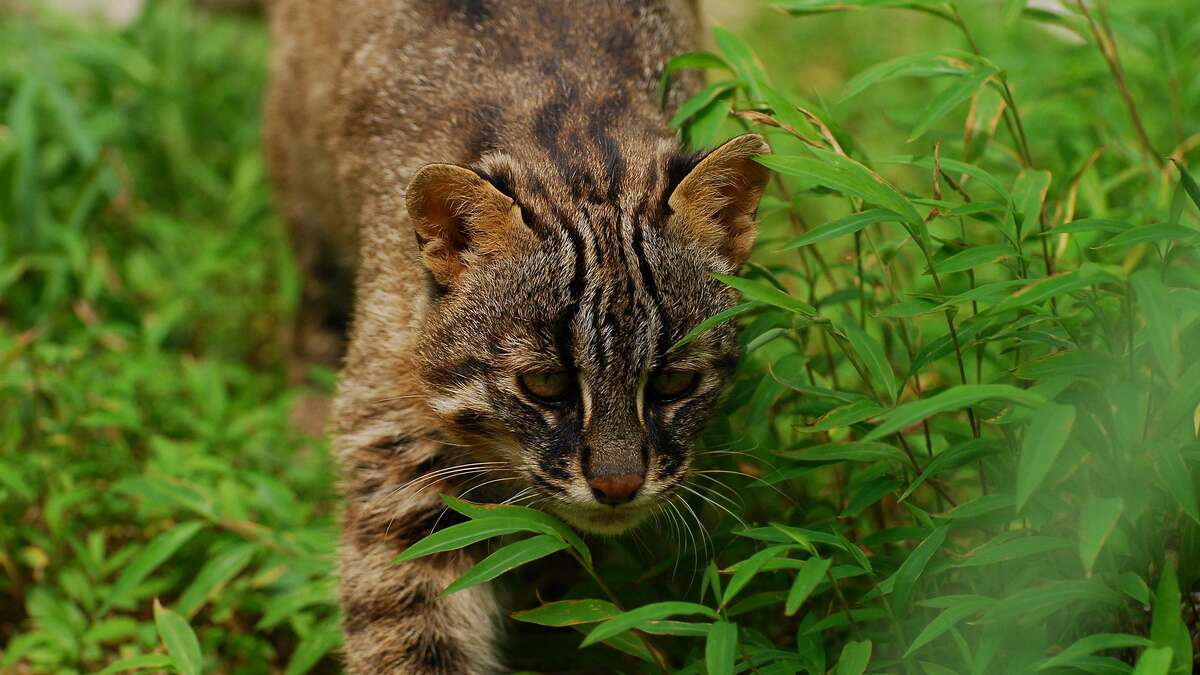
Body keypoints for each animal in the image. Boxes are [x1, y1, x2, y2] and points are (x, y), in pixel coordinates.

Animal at [265, 2, 768, 667]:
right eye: (545, 384)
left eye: (673, 383)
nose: (618, 486)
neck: (581, 151)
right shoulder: (398, 454)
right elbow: (410, 629)